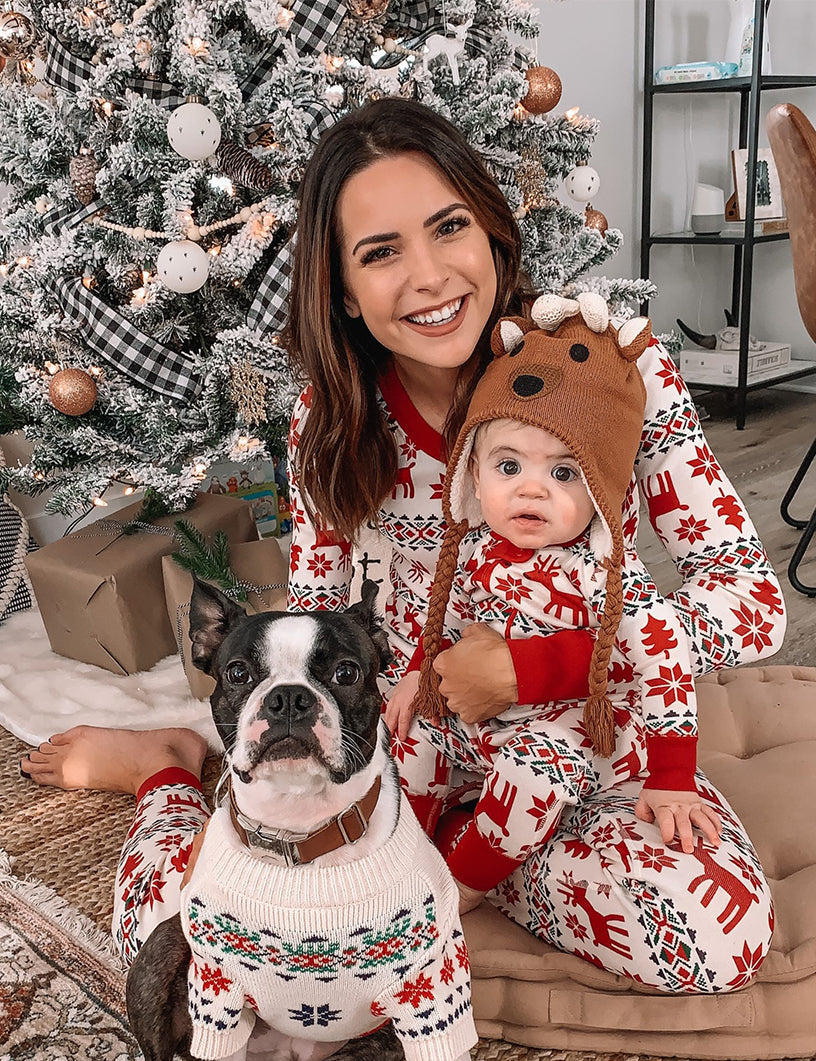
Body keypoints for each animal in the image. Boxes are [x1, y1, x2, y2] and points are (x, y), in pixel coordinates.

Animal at [124, 581, 475, 1061]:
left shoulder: (434, 990)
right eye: (238, 673)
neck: (298, 831)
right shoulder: (217, 998)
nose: (288, 697)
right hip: (162, 948)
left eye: (346, 673)